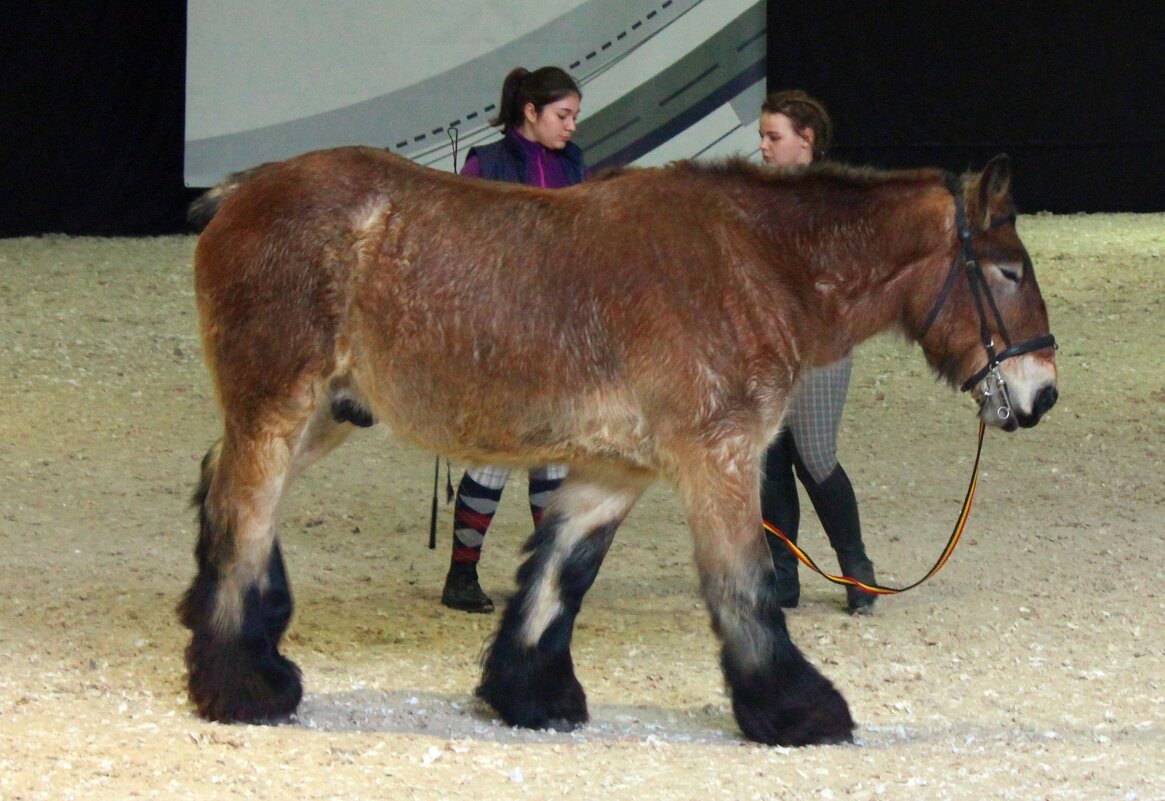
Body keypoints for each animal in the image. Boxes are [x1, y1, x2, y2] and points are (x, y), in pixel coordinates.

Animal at [177, 147, 1062, 749]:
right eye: (1009, 270)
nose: (1042, 391)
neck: (754, 262)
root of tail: (239, 191)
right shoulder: (720, 460)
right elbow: (746, 587)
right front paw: (794, 707)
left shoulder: (613, 471)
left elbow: (558, 578)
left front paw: (528, 693)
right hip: (277, 411)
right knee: (243, 512)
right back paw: (242, 680)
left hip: (319, 418)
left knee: (225, 491)